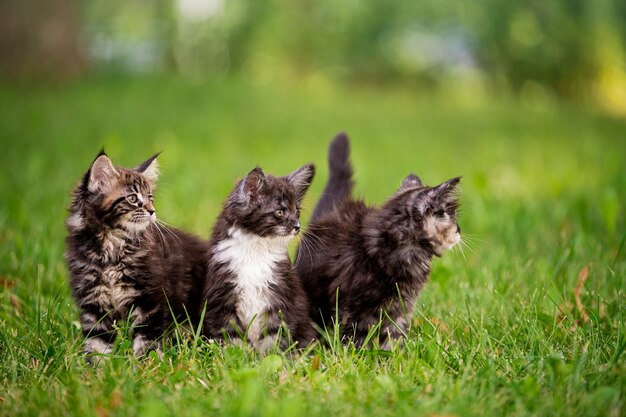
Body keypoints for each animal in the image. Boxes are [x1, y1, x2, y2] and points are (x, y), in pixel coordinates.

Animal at [65, 150, 208, 360]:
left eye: (150, 197)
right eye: (132, 198)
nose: (152, 211)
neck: (111, 248)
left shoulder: (149, 300)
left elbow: (146, 341)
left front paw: (148, 365)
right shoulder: (94, 304)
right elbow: (96, 345)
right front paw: (94, 368)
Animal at [201, 163, 314, 352]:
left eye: (296, 211)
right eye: (280, 212)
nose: (297, 226)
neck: (256, 249)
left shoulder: (280, 298)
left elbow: (273, 337)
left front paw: (270, 358)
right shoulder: (223, 299)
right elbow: (232, 339)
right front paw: (237, 357)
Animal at [294, 134, 460, 348]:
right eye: (451, 217)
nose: (459, 230)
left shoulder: (401, 307)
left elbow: (393, 334)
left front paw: (393, 353)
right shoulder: (354, 307)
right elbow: (356, 335)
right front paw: (357, 354)